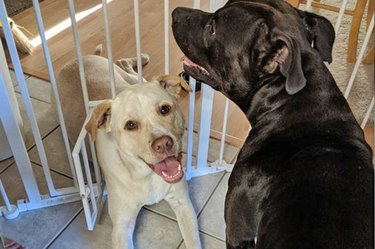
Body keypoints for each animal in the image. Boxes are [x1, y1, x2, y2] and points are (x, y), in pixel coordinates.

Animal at [85, 75, 203, 249]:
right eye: (130, 125)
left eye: (164, 109)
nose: (163, 144)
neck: (147, 176)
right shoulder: (121, 226)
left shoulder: (183, 204)